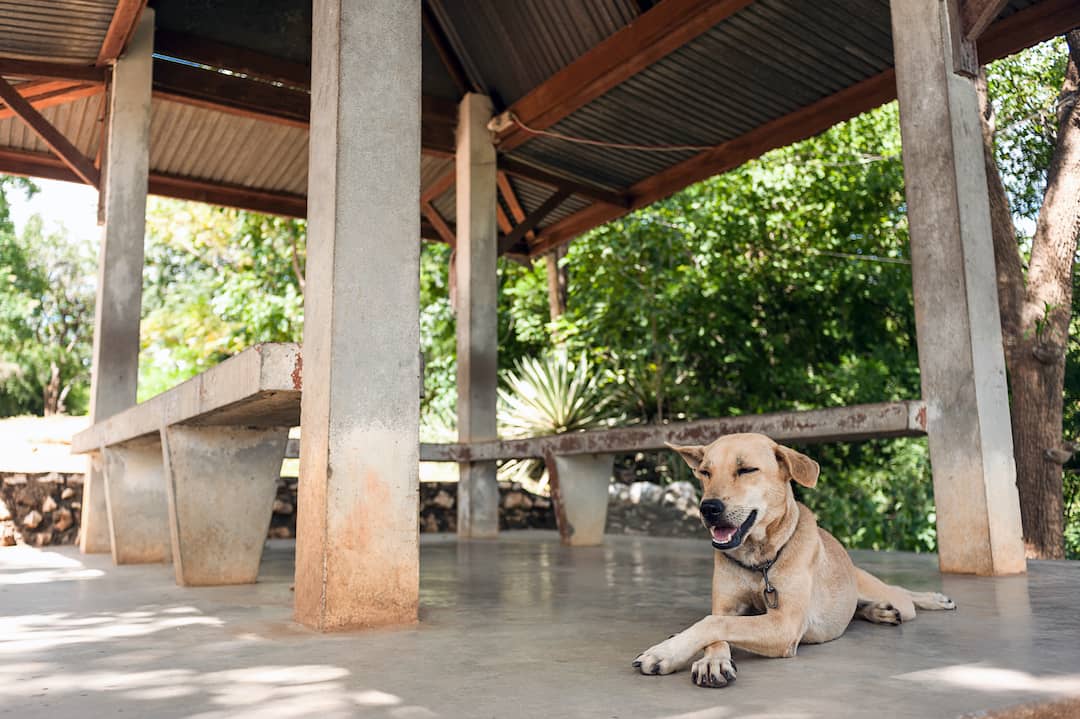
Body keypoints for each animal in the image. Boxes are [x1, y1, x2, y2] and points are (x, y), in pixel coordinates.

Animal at [630, 427, 954, 686]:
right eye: (705, 473)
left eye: (746, 470)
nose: (708, 508)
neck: (760, 561)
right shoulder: (726, 606)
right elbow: (716, 625)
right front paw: (712, 659)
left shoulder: (783, 624)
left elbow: (711, 623)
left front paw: (664, 653)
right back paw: (879, 611)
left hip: (885, 593)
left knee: (901, 592)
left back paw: (932, 598)